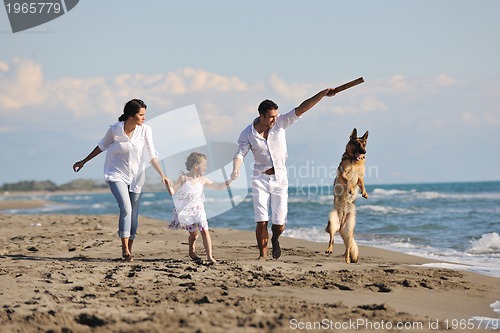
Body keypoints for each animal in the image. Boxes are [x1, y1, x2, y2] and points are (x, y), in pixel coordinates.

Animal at [324, 127, 368, 262]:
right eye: (357, 144)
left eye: (364, 144)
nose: (364, 151)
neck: (354, 161)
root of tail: (341, 224)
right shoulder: (342, 174)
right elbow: (348, 181)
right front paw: (351, 190)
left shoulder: (360, 177)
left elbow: (361, 183)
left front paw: (364, 193)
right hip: (333, 223)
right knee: (332, 239)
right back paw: (329, 249)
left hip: (349, 231)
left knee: (348, 248)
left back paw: (347, 260)